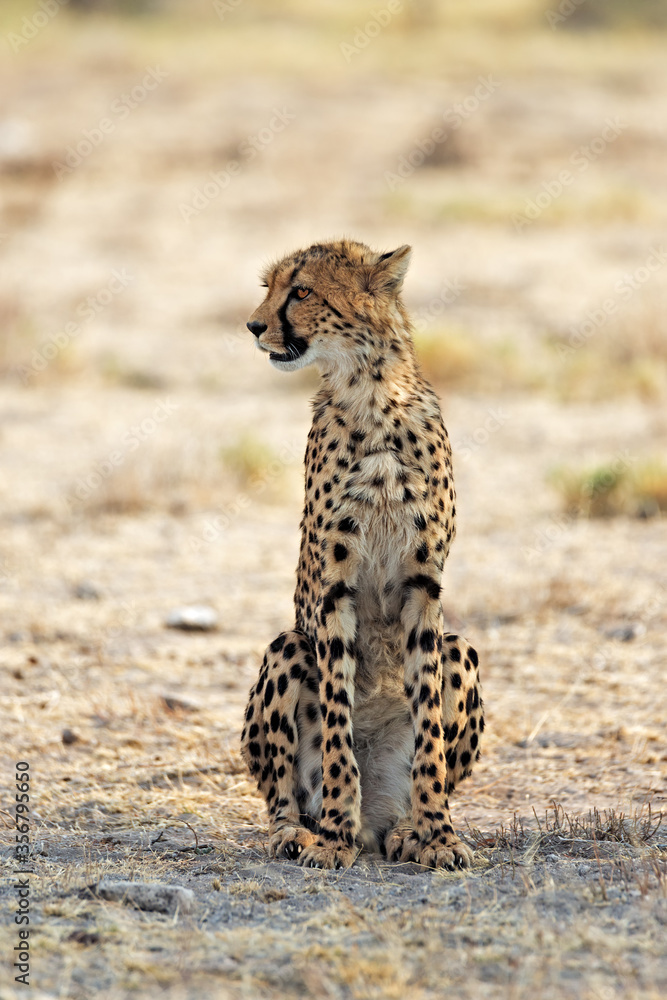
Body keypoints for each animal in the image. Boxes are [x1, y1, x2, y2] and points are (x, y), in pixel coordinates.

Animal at [240, 239, 484, 870]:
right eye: (268, 288)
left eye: (301, 291)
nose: (253, 326)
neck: (373, 395)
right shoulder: (333, 589)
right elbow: (336, 729)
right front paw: (332, 837)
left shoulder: (425, 585)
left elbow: (430, 735)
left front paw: (438, 833)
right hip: (287, 646)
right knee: (282, 793)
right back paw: (303, 832)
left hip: (461, 648)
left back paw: (404, 829)